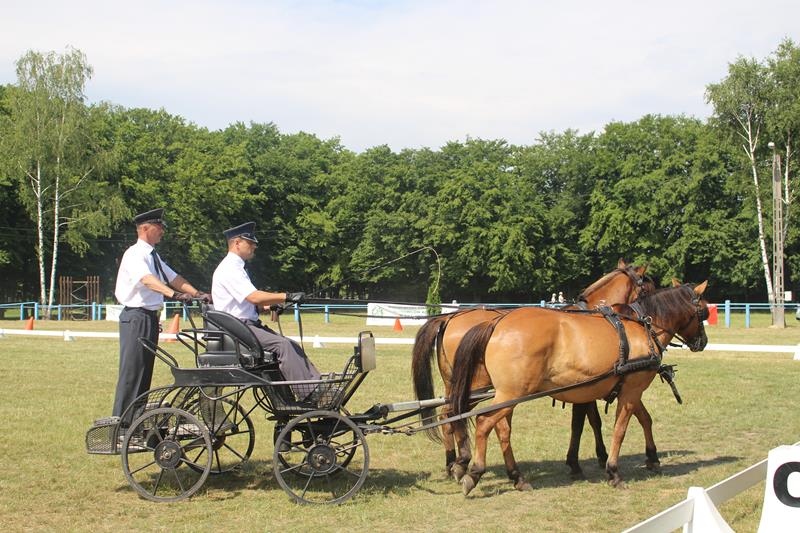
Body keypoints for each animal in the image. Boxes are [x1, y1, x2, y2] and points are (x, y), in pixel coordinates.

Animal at [411, 259, 654, 487]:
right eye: (647, 289)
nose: (646, 321)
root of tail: (448, 318)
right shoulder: (587, 388)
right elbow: (588, 422)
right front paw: (592, 459)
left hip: (464, 386)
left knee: (449, 415)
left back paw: (454, 462)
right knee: (457, 415)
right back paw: (462, 462)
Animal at [449, 281, 709, 495]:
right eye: (703, 312)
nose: (703, 342)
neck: (642, 327)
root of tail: (497, 322)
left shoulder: (625, 390)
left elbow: (643, 419)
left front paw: (652, 457)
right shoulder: (632, 390)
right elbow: (620, 429)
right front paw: (613, 471)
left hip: (505, 395)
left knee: (498, 428)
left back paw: (514, 477)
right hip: (511, 394)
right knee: (484, 422)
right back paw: (474, 472)